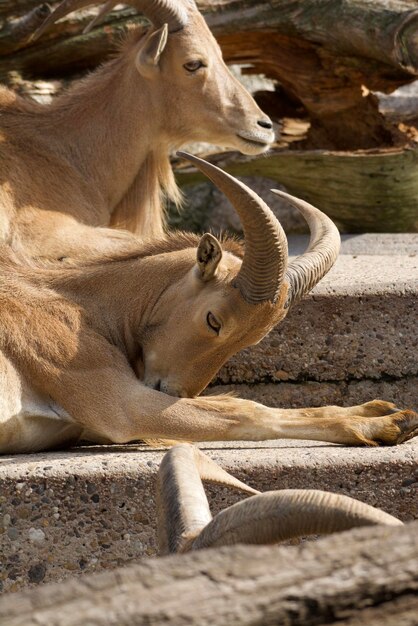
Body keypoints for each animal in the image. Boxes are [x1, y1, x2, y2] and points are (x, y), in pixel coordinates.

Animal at [0, 153, 414, 450]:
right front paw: (380, 423)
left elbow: (234, 403)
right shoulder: (117, 402)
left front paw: (380, 408)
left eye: (252, 340)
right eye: (213, 320)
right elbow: (244, 412)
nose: (174, 392)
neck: (81, 306)